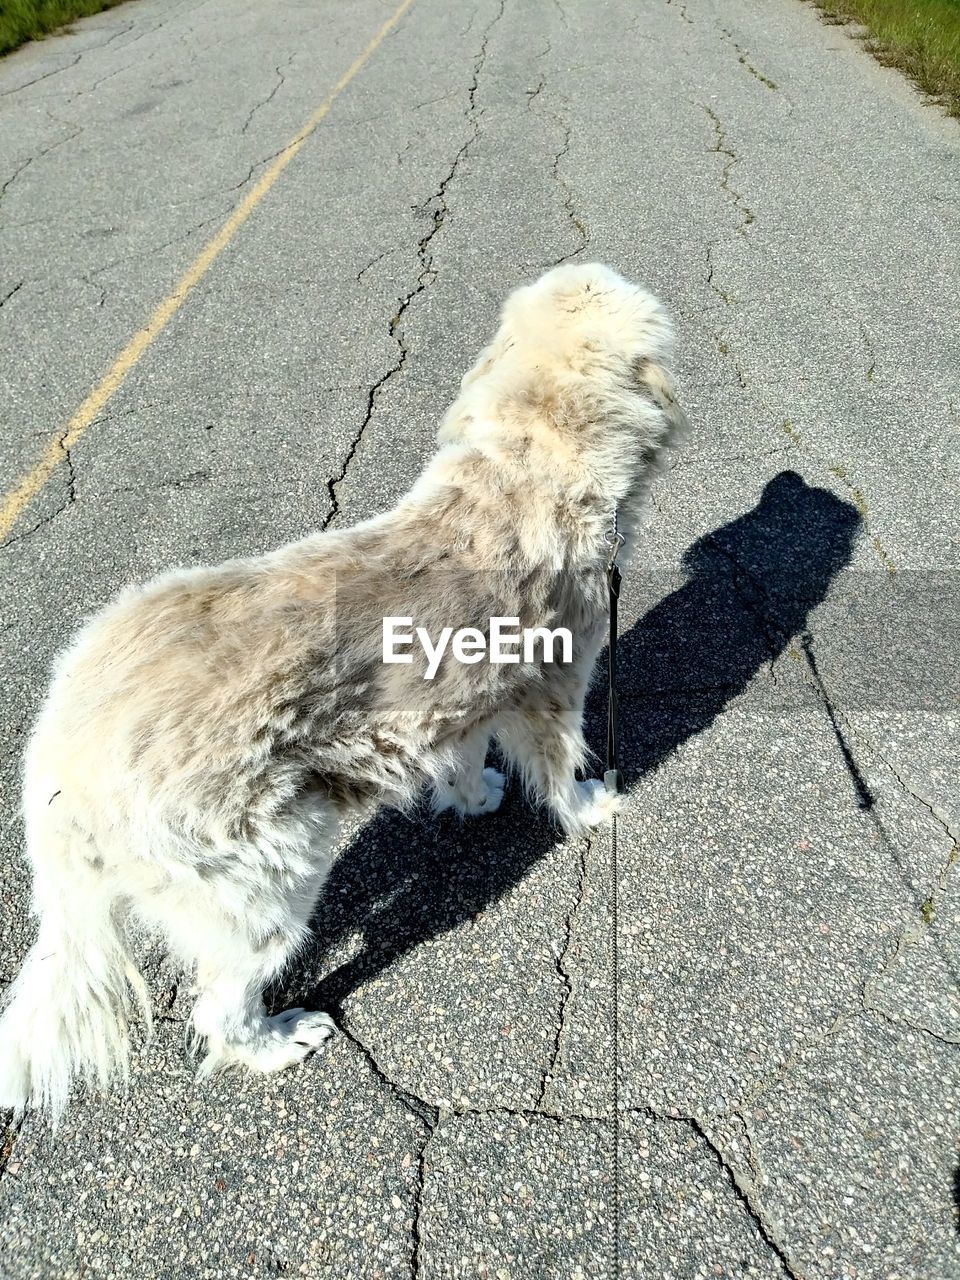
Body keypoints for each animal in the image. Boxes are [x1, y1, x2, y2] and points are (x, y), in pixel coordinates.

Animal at [1, 262, 691, 1121]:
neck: (526, 466)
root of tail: (55, 752)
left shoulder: (460, 695)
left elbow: (463, 756)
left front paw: (473, 797)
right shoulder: (554, 689)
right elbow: (561, 769)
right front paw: (590, 808)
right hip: (271, 872)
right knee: (221, 1007)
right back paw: (276, 1041)